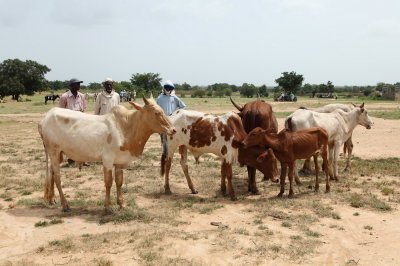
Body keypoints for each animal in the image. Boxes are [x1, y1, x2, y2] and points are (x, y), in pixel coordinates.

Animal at [39, 94, 175, 213]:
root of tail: (45, 118)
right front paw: (108, 207)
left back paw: (52, 199)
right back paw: (65, 205)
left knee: (51, 173)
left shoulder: (119, 162)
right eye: (156, 113)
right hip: (53, 151)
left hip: (58, 154)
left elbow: (119, 182)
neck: (126, 127)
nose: (173, 130)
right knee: (57, 177)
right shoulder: (108, 160)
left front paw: (121, 204)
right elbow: (108, 182)